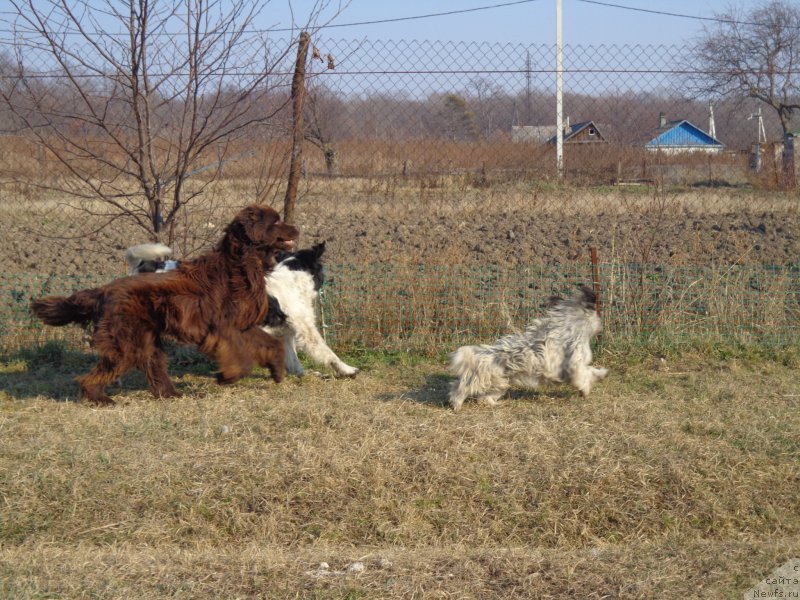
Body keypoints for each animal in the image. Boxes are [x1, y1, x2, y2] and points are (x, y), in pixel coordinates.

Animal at [30, 204, 300, 406]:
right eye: (276, 222)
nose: (297, 229)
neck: (241, 264)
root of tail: (103, 291)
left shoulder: (240, 325)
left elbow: (271, 344)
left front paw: (277, 370)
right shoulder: (222, 328)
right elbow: (242, 359)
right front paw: (227, 376)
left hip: (145, 339)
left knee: (154, 366)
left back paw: (171, 394)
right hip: (125, 342)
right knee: (97, 374)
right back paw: (100, 398)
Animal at [124, 241, 356, 378]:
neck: (290, 278)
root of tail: (147, 267)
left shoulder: (285, 332)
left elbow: (293, 360)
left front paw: (302, 374)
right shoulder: (306, 330)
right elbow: (327, 353)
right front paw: (347, 369)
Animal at [446, 288, 608, 410]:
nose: (602, 325)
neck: (569, 328)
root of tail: (480, 355)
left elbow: (592, 371)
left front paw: (602, 374)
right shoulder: (575, 367)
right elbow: (585, 375)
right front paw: (586, 390)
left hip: (500, 384)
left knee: (484, 397)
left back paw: (493, 403)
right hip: (479, 380)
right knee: (460, 388)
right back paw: (456, 404)